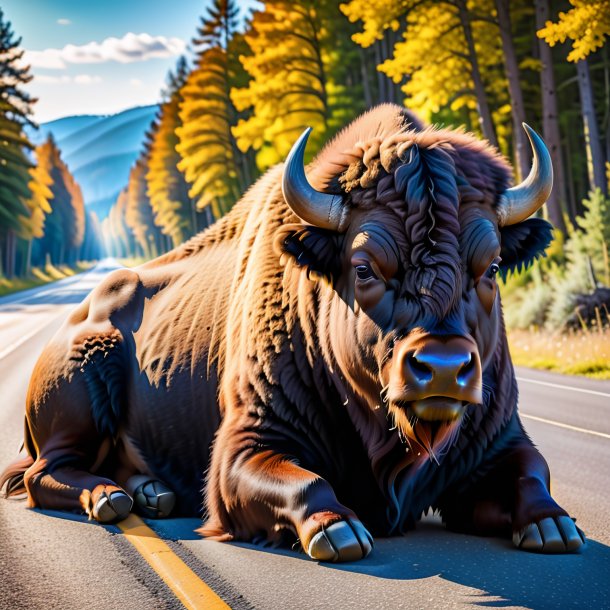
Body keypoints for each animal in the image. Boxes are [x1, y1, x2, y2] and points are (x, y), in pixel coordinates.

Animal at [1, 105, 584, 560]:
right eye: (364, 268)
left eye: (491, 267)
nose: (442, 369)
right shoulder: (244, 447)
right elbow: (305, 483)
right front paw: (339, 531)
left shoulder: (497, 443)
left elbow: (533, 474)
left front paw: (555, 527)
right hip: (77, 392)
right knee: (42, 472)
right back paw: (112, 499)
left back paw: (150, 493)